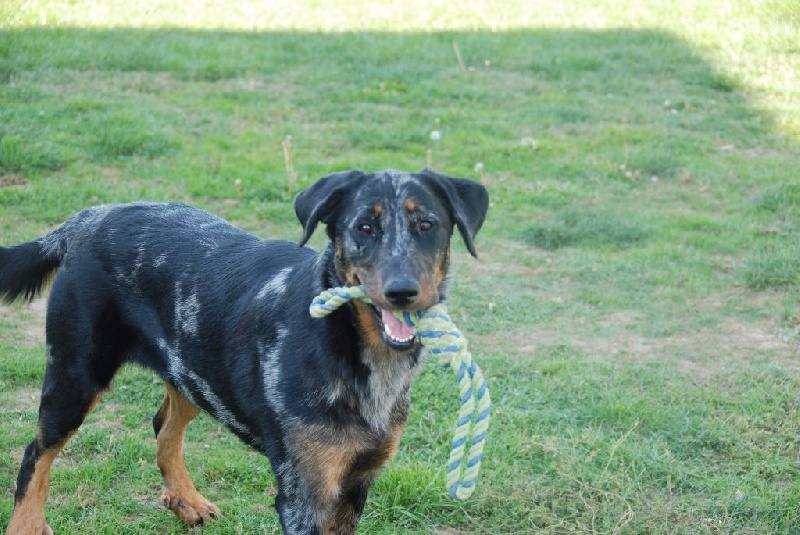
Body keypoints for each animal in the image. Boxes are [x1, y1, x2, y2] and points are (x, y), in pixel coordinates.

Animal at [0, 169, 488, 535]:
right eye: (363, 228)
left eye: (427, 225)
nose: (402, 291)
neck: (355, 351)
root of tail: (87, 218)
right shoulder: (305, 494)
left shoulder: (356, 482)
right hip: (77, 374)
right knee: (35, 453)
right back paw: (26, 525)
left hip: (193, 370)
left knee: (163, 426)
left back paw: (187, 500)